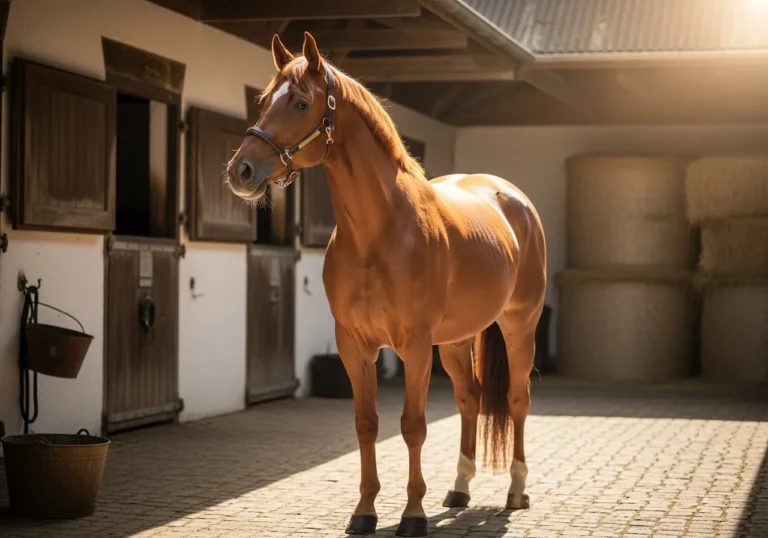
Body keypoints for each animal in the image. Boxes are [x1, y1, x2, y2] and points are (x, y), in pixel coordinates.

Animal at [226, 32, 547, 537]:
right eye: (262, 101)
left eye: (300, 103)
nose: (241, 171)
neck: (380, 234)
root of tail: (512, 197)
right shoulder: (354, 345)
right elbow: (367, 424)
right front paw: (364, 511)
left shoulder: (413, 346)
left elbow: (412, 425)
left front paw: (412, 515)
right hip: (455, 341)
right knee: (469, 399)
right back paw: (459, 488)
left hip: (520, 326)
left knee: (517, 399)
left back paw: (516, 490)